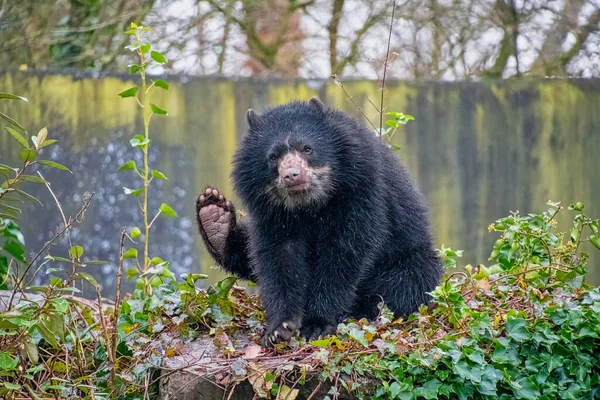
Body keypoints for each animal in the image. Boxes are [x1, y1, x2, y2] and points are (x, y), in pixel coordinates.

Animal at [196, 97, 440, 346]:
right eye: (273, 157)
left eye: (307, 148)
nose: (292, 175)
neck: (310, 204)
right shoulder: (272, 212)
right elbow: (278, 256)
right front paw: (279, 329)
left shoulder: (361, 190)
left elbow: (345, 251)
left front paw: (318, 325)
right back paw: (214, 217)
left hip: (409, 259)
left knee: (406, 284)